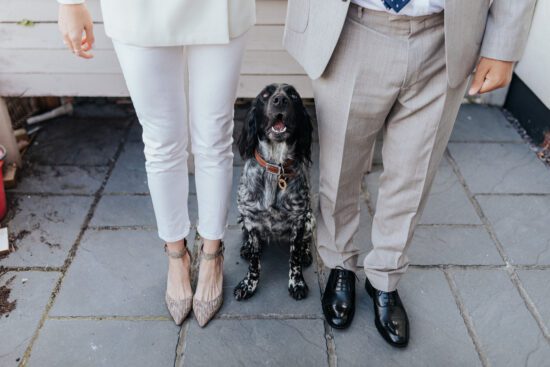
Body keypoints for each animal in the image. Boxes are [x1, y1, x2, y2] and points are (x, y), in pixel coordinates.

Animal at [235, 84, 316, 302]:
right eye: (265, 94)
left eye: (293, 95)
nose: (280, 100)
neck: (276, 167)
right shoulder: (251, 218)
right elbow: (255, 262)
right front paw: (249, 284)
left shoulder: (299, 220)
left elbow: (294, 259)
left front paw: (297, 283)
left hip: (310, 219)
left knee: (307, 240)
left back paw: (306, 253)